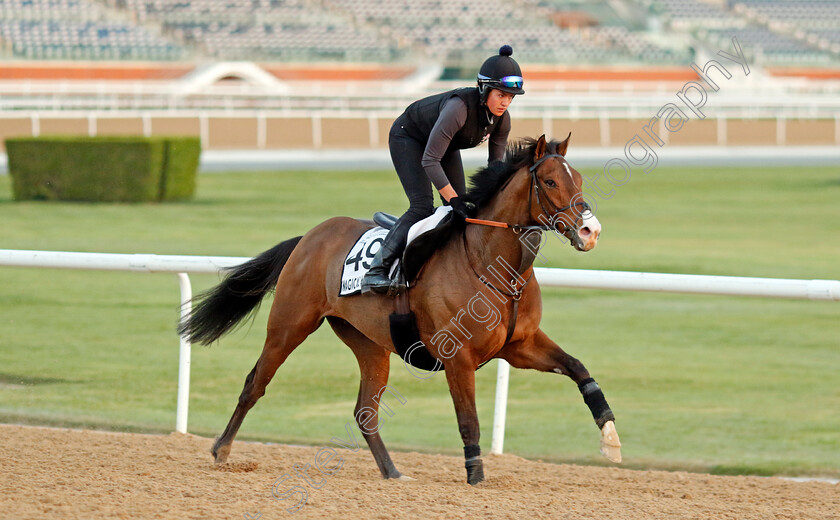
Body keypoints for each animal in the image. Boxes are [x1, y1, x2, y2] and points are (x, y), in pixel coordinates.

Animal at [179, 133, 624, 484]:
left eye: (578, 179)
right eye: (549, 181)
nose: (591, 231)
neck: (494, 266)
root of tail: (310, 235)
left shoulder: (519, 345)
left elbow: (579, 369)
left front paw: (611, 440)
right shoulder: (459, 357)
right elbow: (469, 420)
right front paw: (476, 477)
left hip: (369, 343)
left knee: (365, 412)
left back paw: (392, 472)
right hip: (289, 325)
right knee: (255, 383)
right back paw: (221, 450)